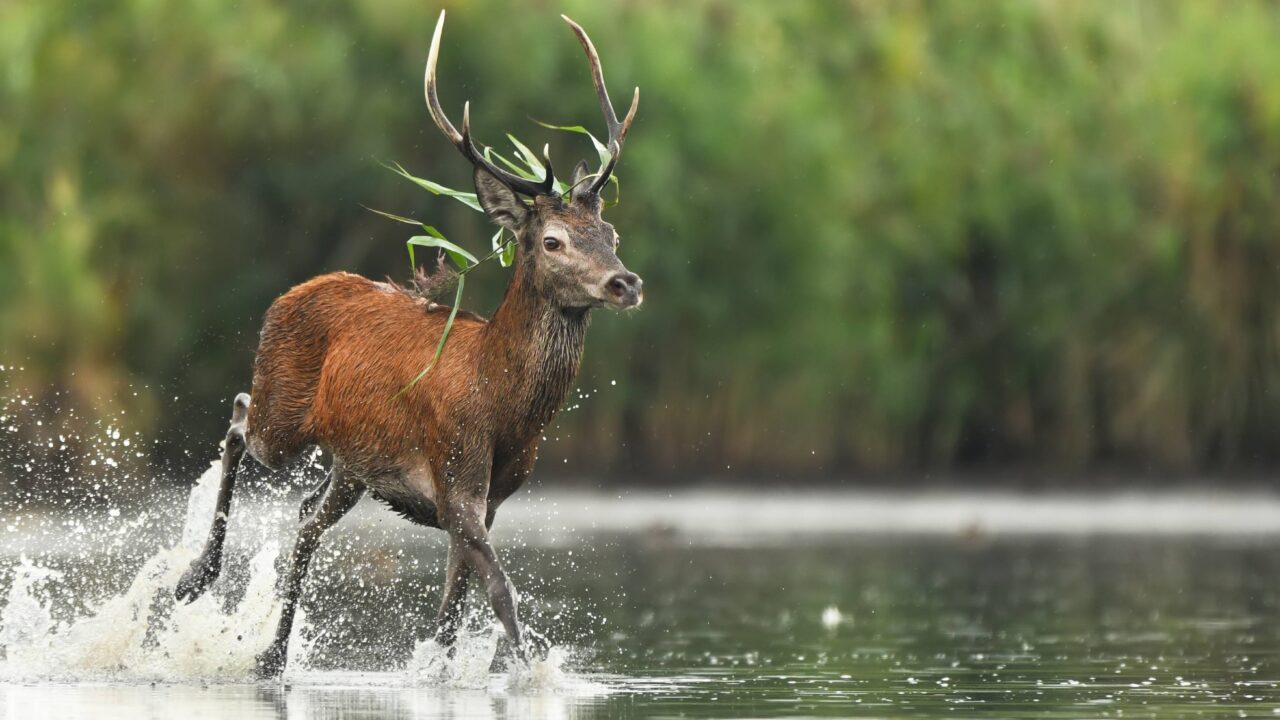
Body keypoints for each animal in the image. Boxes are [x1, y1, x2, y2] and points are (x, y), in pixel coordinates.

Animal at [172, 10, 641, 678]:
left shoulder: (488, 499)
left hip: (352, 464)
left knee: (307, 518)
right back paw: (194, 579)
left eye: (612, 232)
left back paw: (271, 655)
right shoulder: (456, 477)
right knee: (238, 421)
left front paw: (449, 671)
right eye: (553, 240)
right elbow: (499, 591)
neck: (503, 405)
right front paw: (529, 674)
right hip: (282, 414)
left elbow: (453, 611)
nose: (626, 283)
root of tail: (290, 293)